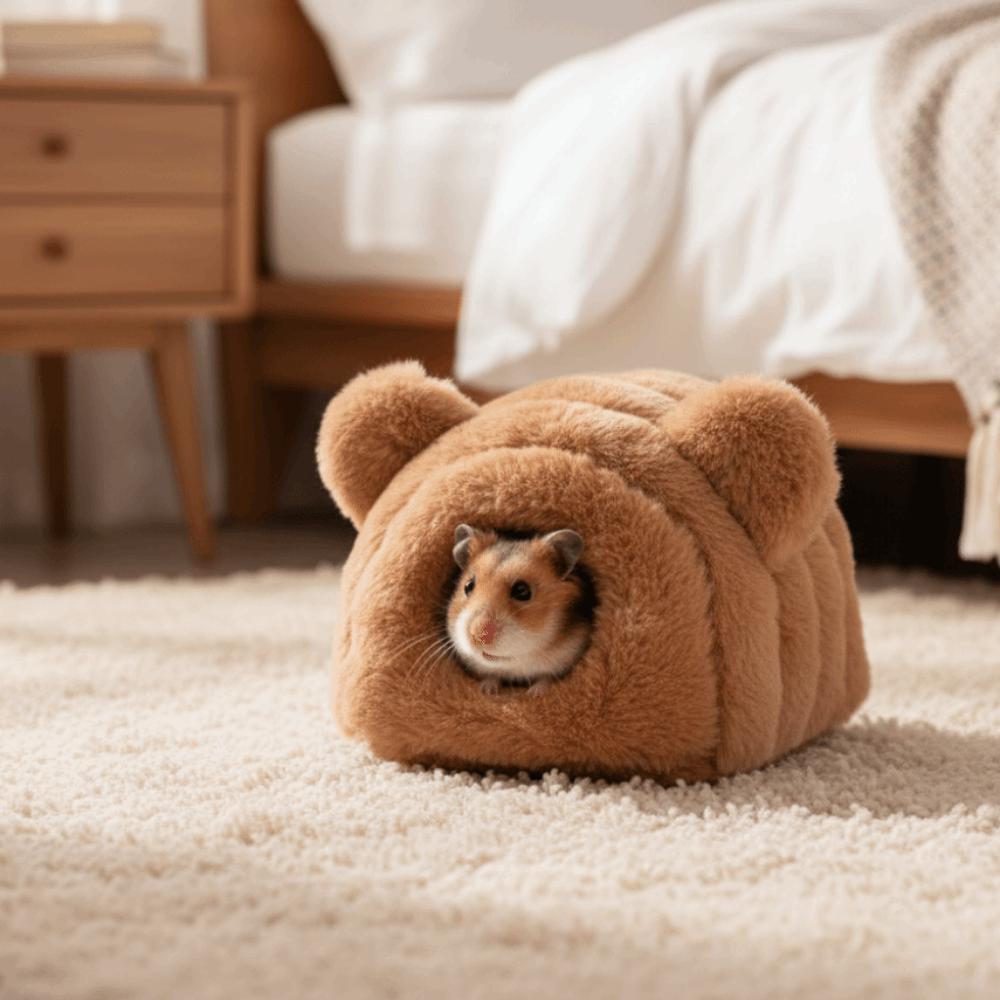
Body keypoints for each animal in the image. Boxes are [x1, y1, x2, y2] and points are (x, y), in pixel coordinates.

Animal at [446, 524, 597, 695]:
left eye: (522, 591)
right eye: (468, 586)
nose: (478, 636)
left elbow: (546, 678)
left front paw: (535, 694)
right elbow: (491, 675)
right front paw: (487, 690)